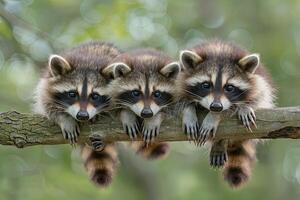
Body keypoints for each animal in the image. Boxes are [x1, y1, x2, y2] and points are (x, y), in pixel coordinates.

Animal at [33, 41, 120, 187]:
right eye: (72, 94)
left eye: (95, 96)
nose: (82, 115)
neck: (88, 61)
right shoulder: (46, 86)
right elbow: (47, 105)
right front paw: (65, 119)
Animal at [177, 40, 276, 188]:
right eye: (206, 85)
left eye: (229, 87)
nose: (216, 106)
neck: (219, 51)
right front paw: (189, 112)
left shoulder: (259, 82)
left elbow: (259, 96)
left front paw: (215, 116)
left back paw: (221, 142)